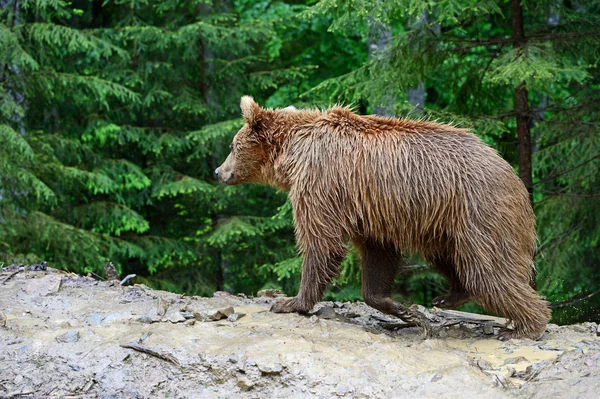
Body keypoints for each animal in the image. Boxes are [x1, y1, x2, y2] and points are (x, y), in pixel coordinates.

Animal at [218, 96, 552, 340]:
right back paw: (448, 298)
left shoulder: (322, 183)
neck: (293, 154)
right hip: (443, 224)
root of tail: (512, 173)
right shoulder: (368, 210)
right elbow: (378, 255)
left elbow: (322, 242)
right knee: (451, 258)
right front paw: (403, 310)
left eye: (232, 146)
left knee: (490, 270)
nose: (218, 171)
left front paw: (290, 302)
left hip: (480, 212)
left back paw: (525, 326)